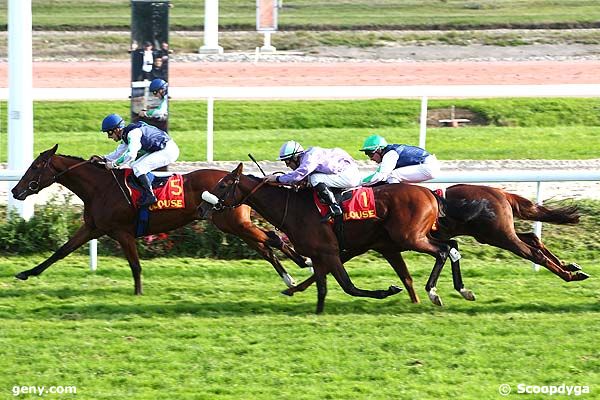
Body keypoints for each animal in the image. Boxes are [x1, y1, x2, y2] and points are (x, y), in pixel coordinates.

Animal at [9, 145, 310, 296]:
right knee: (265, 246)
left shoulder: (121, 232)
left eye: (35, 166)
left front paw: (138, 292)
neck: (100, 187)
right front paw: (26, 273)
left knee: (271, 239)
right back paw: (290, 278)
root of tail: (239, 178)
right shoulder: (93, 227)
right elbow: (61, 251)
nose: (15, 191)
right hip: (233, 225)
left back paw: (302, 264)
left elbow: (135, 264)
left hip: (233, 223)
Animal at [199, 162, 494, 312]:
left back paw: (434, 292)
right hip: (412, 237)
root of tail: (430, 193)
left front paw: (388, 290)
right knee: (451, 246)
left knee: (443, 251)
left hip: (410, 237)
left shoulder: (329, 252)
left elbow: (348, 286)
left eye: (223, 185)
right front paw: (315, 311)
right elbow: (322, 288)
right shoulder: (319, 254)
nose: (202, 207)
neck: (293, 207)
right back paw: (462, 289)